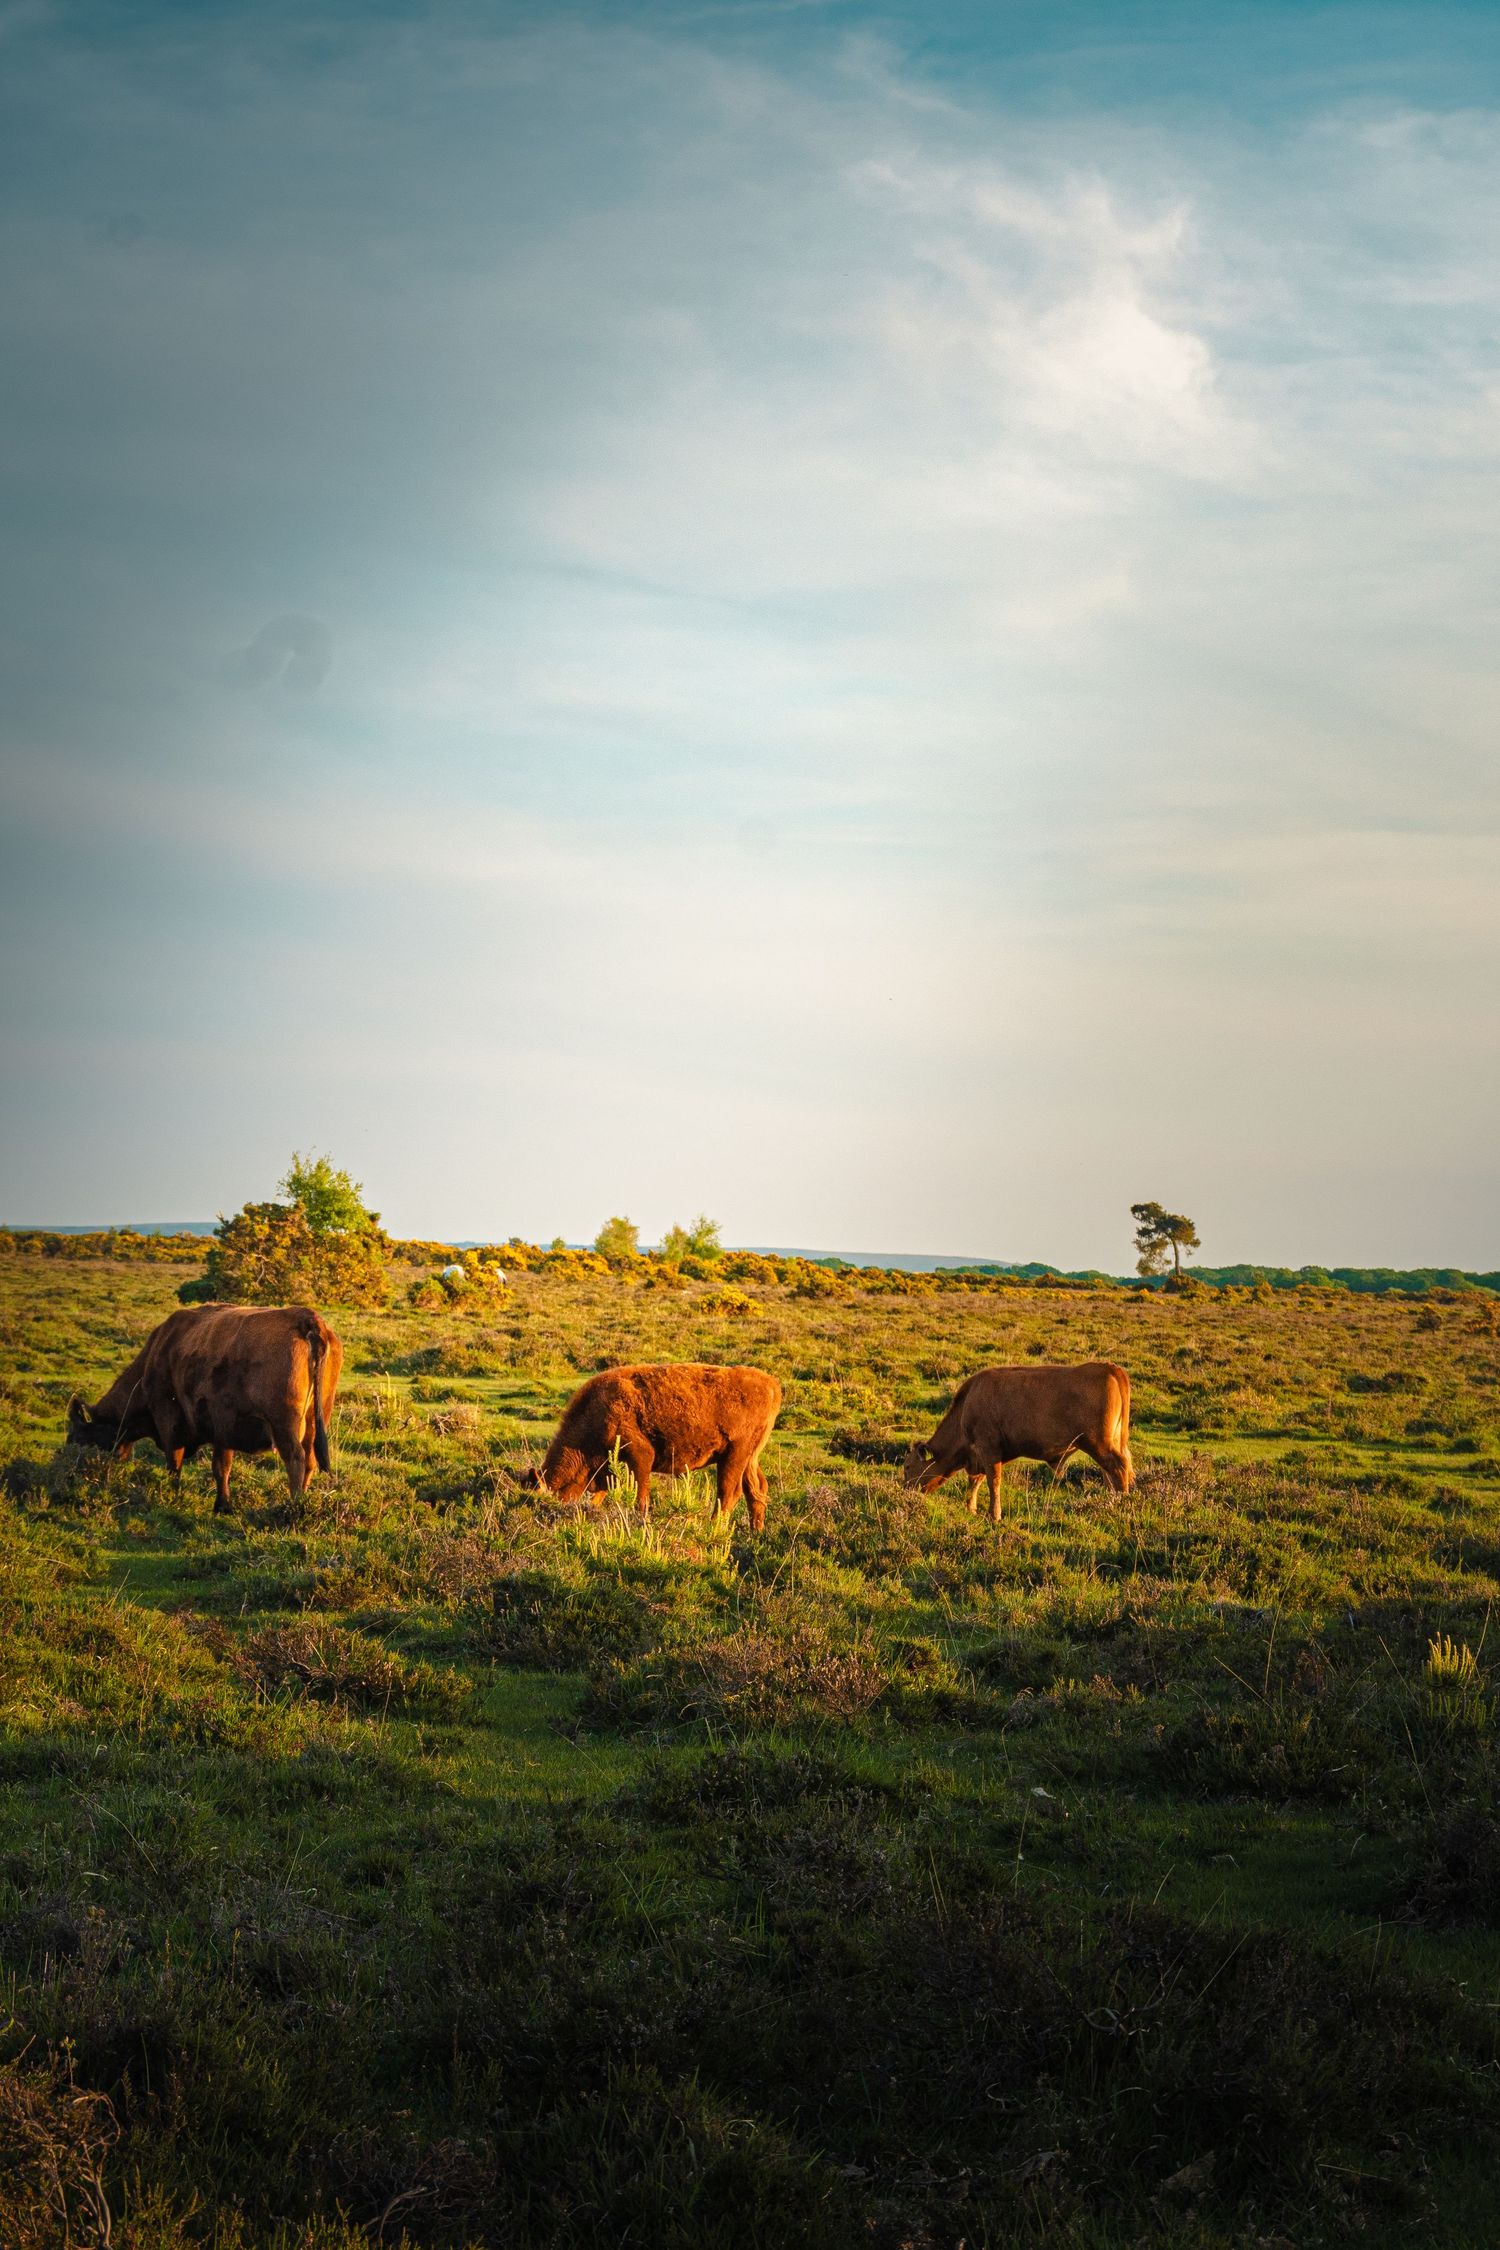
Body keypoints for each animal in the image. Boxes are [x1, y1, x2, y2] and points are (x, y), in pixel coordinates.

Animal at [66, 1304, 342, 1511]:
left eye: (76, 1435)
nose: (71, 1470)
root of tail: (307, 1319)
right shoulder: (222, 1430)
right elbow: (221, 1468)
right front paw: (223, 1506)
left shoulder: (169, 1420)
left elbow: (174, 1463)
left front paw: (173, 1496)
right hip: (315, 1420)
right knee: (310, 1460)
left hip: (284, 1425)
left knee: (295, 1458)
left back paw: (293, 1507)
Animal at [528, 1363, 782, 1527]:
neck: (595, 1412)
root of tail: (771, 1383)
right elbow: (600, 1495)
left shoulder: (639, 1456)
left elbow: (641, 1498)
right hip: (749, 1457)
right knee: (757, 1490)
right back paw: (756, 1534)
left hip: (734, 1455)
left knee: (729, 1492)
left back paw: (713, 1529)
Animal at [903, 1361, 1133, 1522]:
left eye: (907, 1467)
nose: (905, 1491)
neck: (966, 1407)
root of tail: (1110, 1368)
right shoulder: (979, 1457)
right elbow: (975, 1482)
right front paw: (971, 1509)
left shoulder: (989, 1450)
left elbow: (992, 1482)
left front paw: (993, 1515)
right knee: (1110, 1474)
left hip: (1099, 1445)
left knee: (1119, 1469)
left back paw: (1120, 1505)